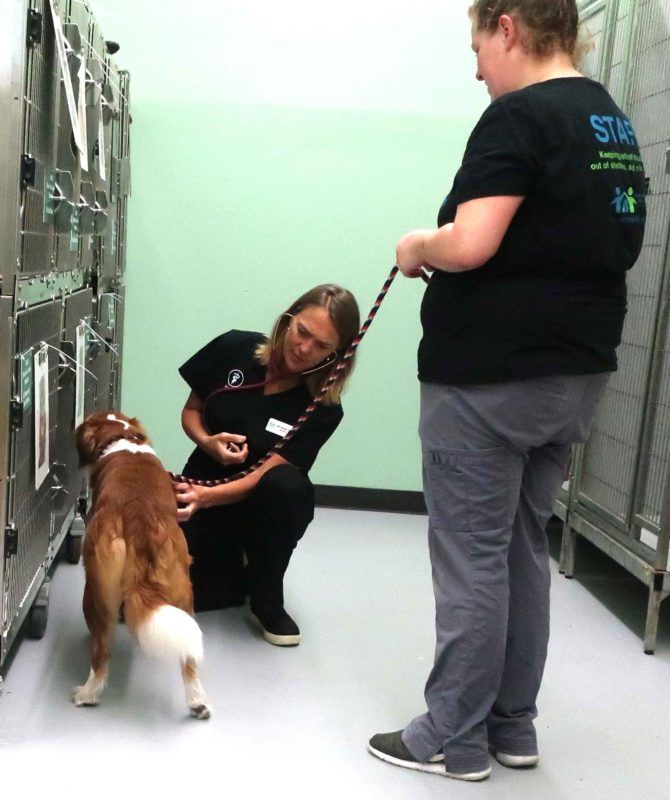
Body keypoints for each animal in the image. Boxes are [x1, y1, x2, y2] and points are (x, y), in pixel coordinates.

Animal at [74, 412, 211, 720]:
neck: (122, 436)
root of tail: (139, 517)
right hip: (184, 592)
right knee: (189, 656)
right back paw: (198, 703)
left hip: (94, 592)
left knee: (101, 652)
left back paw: (86, 695)